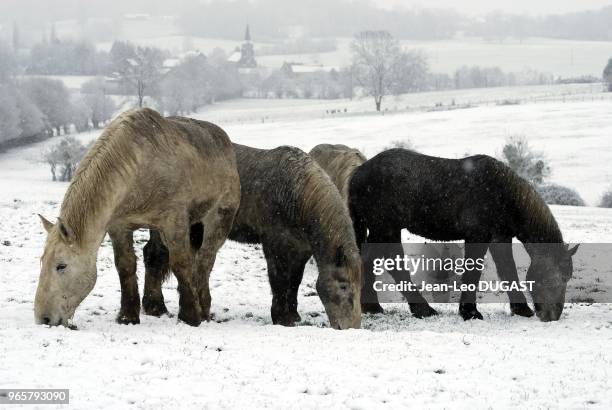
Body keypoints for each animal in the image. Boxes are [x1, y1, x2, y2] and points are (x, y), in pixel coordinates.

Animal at [32, 109, 239, 326]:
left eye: (61, 266)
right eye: (42, 261)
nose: (43, 318)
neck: (139, 164)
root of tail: (224, 140)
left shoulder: (174, 223)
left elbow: (181, 264)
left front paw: (190, 316)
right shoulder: (119, 227)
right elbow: (125, 265)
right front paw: (127, 316)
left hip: (218, 218)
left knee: (205, 259)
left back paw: (203, 309)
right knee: (155, 256)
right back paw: (156, 307)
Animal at [350, 149, 580, 322]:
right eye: (560, 276)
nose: (552, 315)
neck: (501, 192)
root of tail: (359, 172)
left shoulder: (500, 237)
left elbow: (508, 271)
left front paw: (521, 309)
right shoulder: (478, 236)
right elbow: (473, 271)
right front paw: (470, 312)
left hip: (384, 230)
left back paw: (374, 306)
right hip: (385, 229)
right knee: (390, 264)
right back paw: (421, 310)